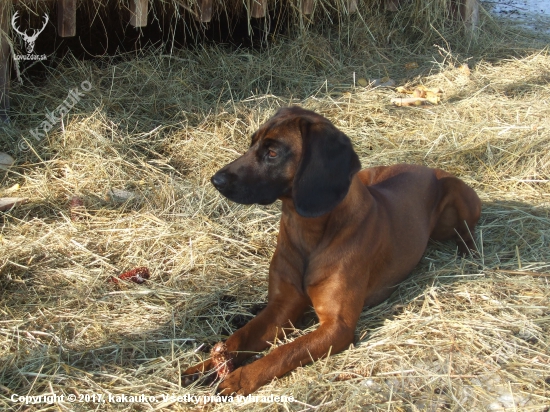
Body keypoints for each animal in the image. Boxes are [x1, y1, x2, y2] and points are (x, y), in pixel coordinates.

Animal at [182, 106, 484, 396]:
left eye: (272, 152)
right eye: (251, 143)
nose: (216, 180)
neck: (307, 232)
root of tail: (422, 167)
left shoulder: (338, 326)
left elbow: (286, 352)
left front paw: (240, 378)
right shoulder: (281, 307)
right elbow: (239, 337)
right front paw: (205, 366)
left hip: (456, 191)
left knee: (467, 230)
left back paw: (468, 253)